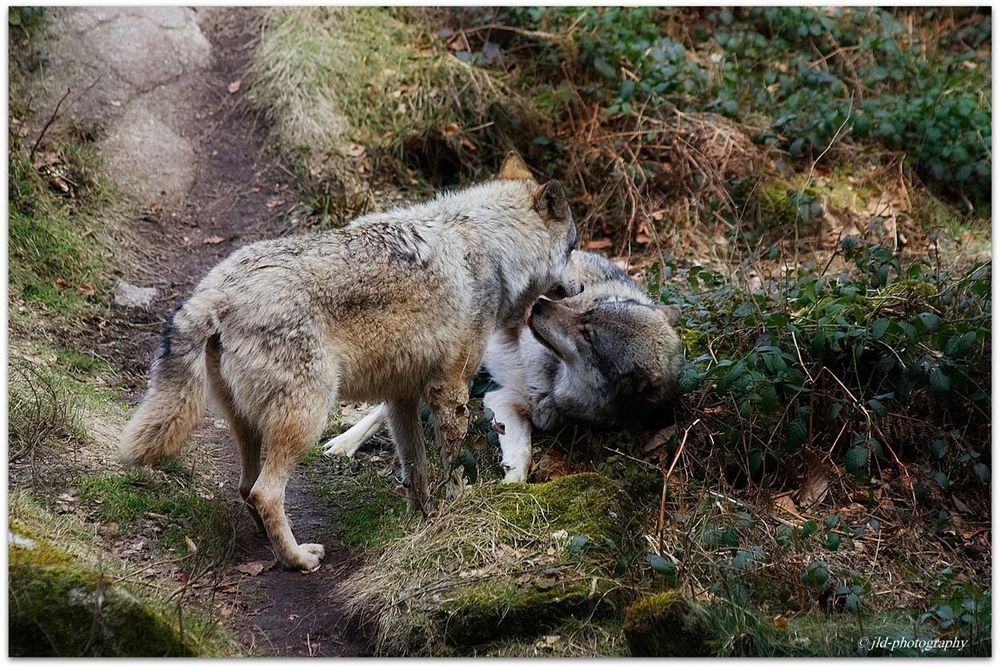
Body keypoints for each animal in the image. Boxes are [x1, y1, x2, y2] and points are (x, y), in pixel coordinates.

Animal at [121, 154, 584, 572]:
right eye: (574, 248)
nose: (581, 287)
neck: (491, 246)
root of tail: (219, 290)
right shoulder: (450, 390)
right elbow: (452, 463)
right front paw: (457, 509)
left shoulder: (401, 397)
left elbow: (415, 470)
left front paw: (423, 520)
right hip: (307, 418)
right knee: (265, 492)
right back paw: (297, 559)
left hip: (249, 423)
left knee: (245, 488)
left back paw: (268, 545)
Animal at [324, 249, 684, 480]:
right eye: (587, 310)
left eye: (588, 333)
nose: (538, 305)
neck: (557, 383)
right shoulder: (501, 400)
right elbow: (522, 456)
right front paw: (511, 489)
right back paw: (343, 443)